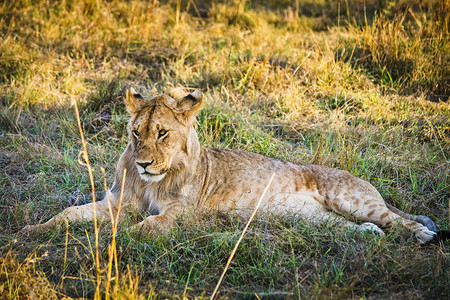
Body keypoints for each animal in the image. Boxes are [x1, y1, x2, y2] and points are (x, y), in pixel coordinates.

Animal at [22, 87, 450, 244]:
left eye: (162, 133)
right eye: (135, 132)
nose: (143, 162)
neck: (149, 183)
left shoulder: (183, 214)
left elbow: (146, 227)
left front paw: (114, 240)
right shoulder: (116, 203)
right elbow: (68, 214)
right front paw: (30, 231)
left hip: (352, 198)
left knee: (398, 218)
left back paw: (424, 235)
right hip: (314, 219)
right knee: (351, 226)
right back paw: (367, 234)